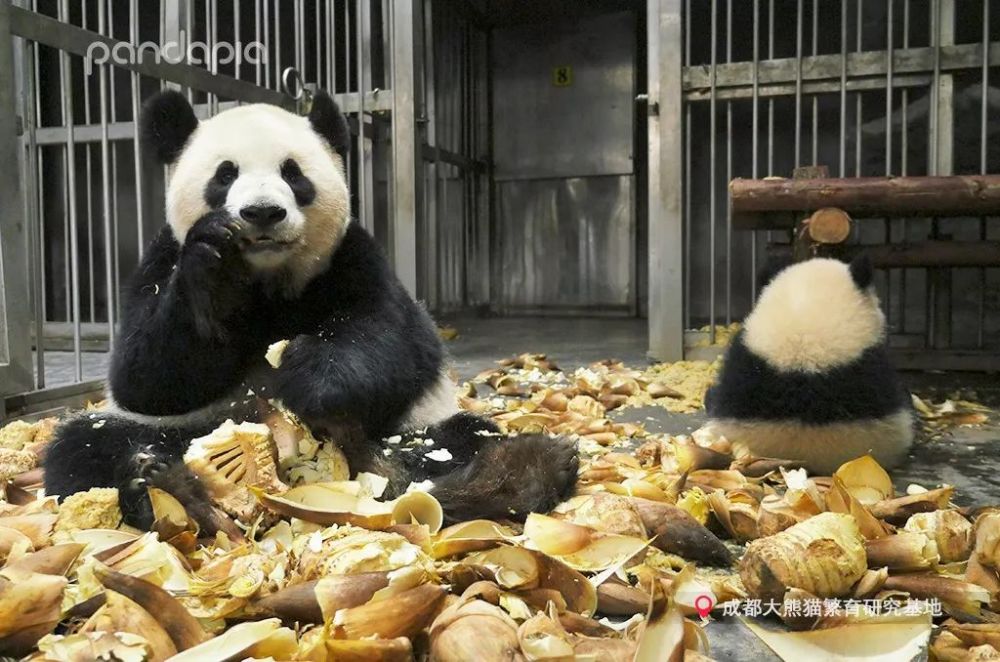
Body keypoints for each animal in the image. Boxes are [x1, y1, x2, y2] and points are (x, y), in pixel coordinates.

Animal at [45, 91, 580, 532]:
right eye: (225, 174)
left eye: (293, 173)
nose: (262, 212)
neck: (267, 283)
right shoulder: (161, 260)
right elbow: (146, 375)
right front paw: (214, 268)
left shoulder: (353, 259)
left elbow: (391, 341)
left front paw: (309, 375)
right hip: (176, 431)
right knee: (85, 448)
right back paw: (164, 487)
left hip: (413, 429)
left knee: (458, 441)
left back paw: (517, 470)